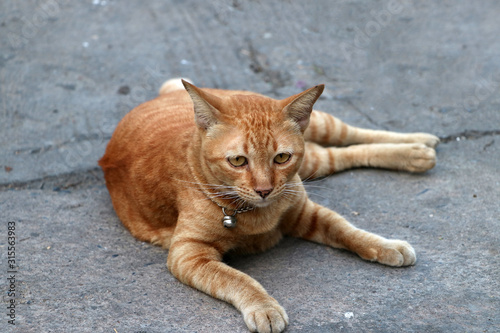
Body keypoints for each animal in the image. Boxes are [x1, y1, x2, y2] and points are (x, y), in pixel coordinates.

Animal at [97, 76, 438, 330]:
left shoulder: (305, 212)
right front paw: (264, 307)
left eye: (282, 157)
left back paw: (419, 143)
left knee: (349, 135)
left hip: (318, 132)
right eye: (237, 161)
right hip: (315, 161)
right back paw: (418, 152)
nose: (264, 189)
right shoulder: (189, 253)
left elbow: (348, 231)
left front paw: (385, 245)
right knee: (339, 154)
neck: (255, 214)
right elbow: (237, 279)